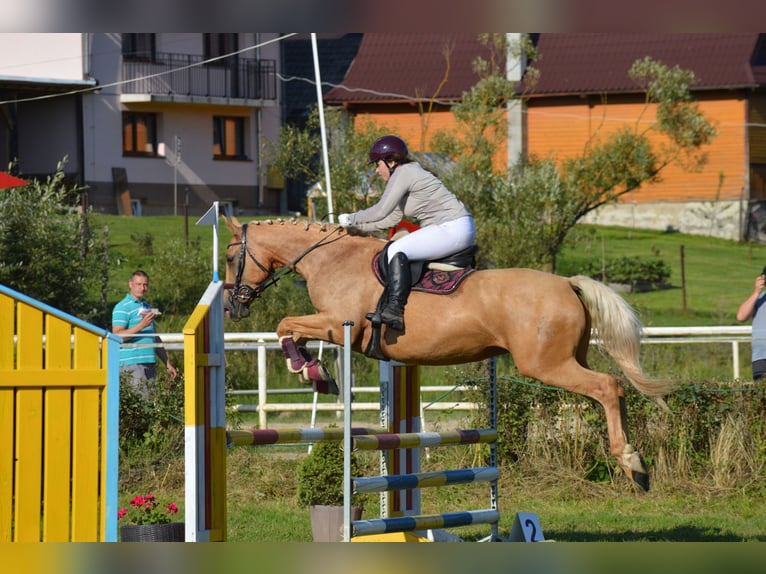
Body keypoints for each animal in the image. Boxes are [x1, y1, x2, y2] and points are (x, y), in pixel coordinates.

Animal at [224, 216, 680, 490]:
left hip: (547, 365)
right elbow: (291, 330)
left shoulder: (339, 325)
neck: (330, 259)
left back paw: (633, 465)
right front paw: (312, 371)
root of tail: (567, 283)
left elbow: (285, 323)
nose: (231, 306)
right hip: (569, 358)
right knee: (608, 388)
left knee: (608, 386)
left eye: (230, 257)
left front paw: (309, 370)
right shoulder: (330, 325)